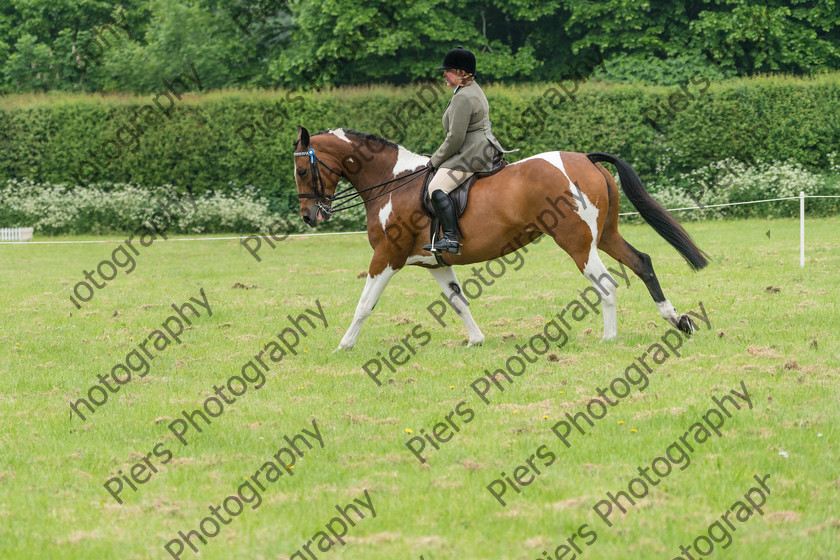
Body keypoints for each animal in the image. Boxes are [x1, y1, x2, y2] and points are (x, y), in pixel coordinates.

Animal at [292, 126, 704, 350]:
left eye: (301, 170)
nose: (310, 216)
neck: (392, 183)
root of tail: (584, 158)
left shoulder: (386, 256)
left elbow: (364, 305)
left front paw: (343, 345)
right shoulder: (435, 263)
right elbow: (458, 302)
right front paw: (476, 341)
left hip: (577, 243)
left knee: (606, 283)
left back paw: (609, 338)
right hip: (605, 235)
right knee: (642, 263)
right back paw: (676, 320)